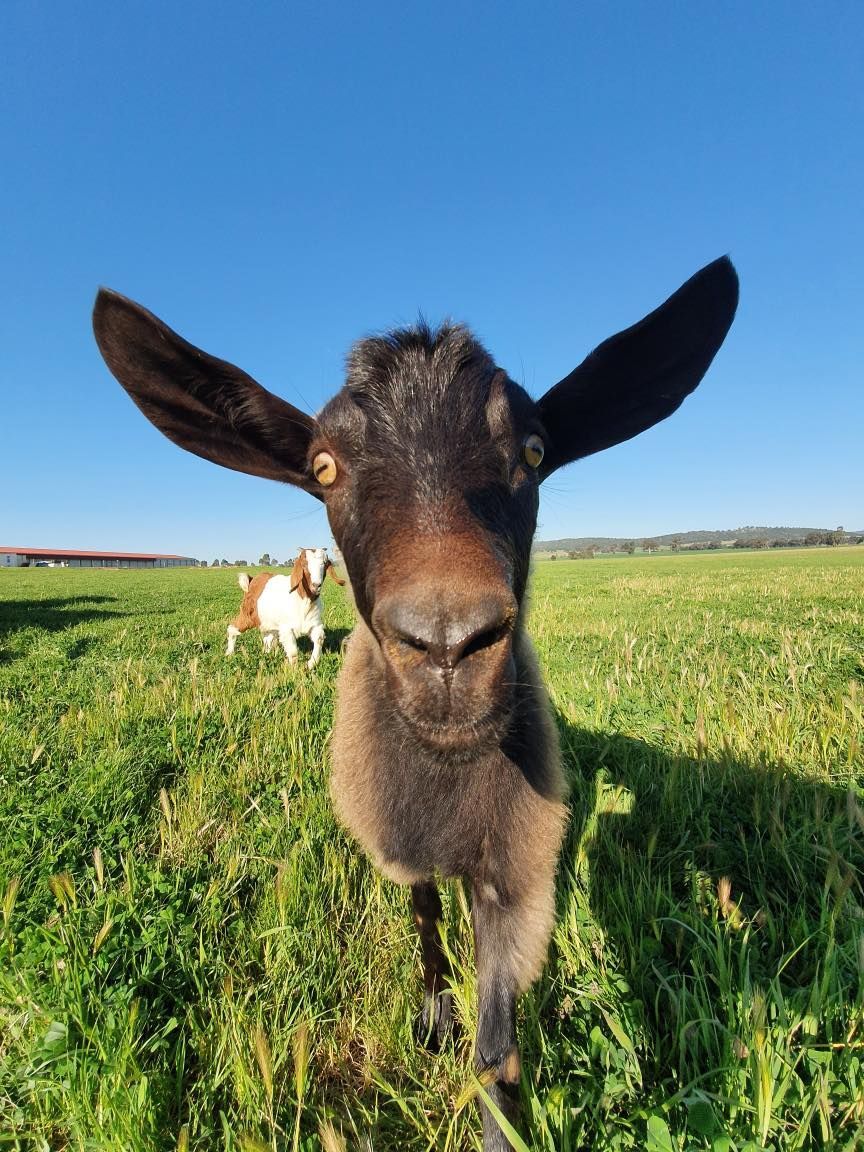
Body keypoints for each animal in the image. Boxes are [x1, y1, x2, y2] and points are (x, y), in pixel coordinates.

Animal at [93, 257, 738, 1150]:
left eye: (534, 449)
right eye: (323, 467)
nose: (447, 646)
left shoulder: (514, 865)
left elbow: (498, 1050)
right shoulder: (401, 840)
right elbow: (427, 924)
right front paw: (433, 1016)